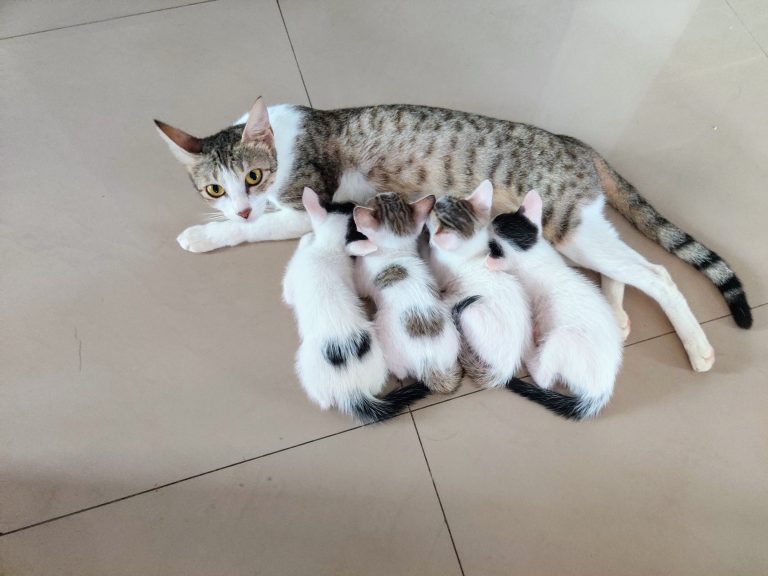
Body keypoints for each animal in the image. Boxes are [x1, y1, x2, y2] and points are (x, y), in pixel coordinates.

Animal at [282, 189, 428, 424]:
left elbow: (289, 291)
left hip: (305, 365)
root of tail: (354, 392)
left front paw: (306, 238)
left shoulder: (290, 283)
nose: (355, 203)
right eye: (345, 205)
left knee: (323, 401)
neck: (328, 249)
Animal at [426, 180, 536, 392]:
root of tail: (504, 373)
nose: (433, 199)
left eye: (434, 211)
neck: (470, 251)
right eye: (442, 201)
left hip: (469, 311)